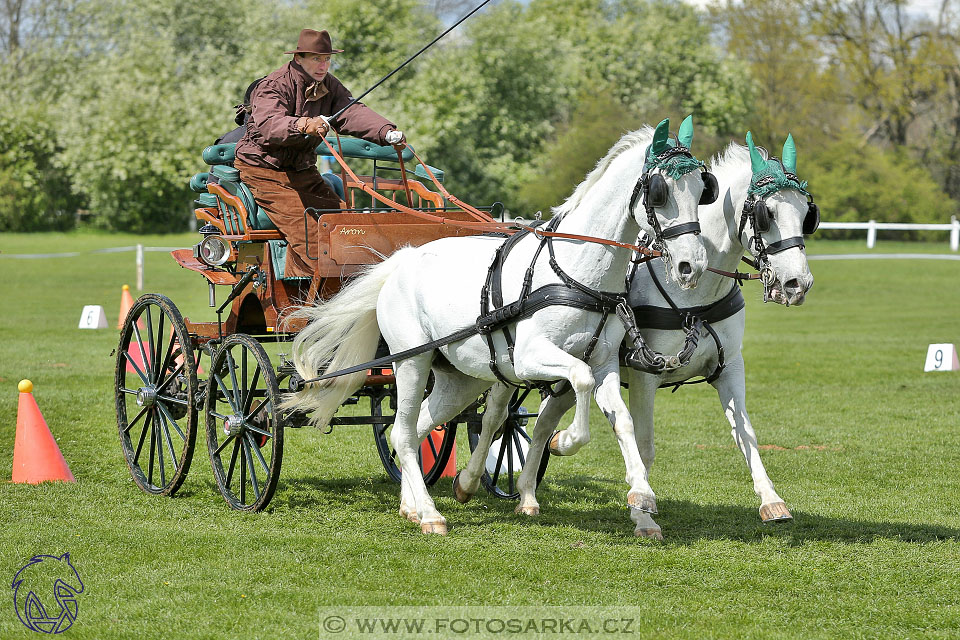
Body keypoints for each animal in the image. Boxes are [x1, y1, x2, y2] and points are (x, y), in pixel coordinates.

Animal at [284, 116, 712, 536]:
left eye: (702, 190)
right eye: (659, 193)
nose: (691, 266)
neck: (577, 272)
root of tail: (401, 260)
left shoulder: (605, 361)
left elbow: (620, 419)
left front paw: (641, 496)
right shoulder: (529, 358)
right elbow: (580, 379)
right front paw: (565, 441)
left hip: (459, 379)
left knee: (416, 427)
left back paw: (414, 504)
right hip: (411, 362)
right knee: (403, 432)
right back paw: (430, 515)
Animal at [512, 131, 812, 540]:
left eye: (806, 213)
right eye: (767, 215)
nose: (798, 283)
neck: (693, 296)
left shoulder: (729, 368)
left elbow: (746, 434)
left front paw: (771, 501)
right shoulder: (644, 374)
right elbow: (644, 444)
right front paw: (642, 514)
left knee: (543, 424)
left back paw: (529, 490)